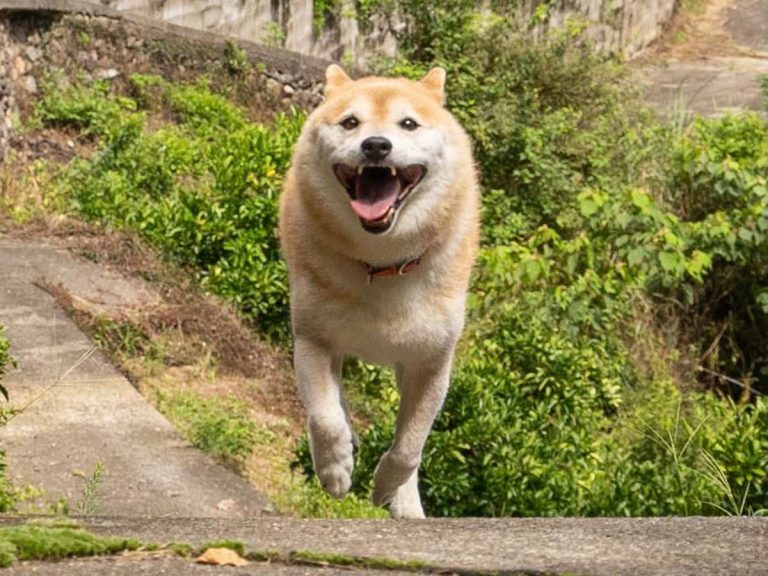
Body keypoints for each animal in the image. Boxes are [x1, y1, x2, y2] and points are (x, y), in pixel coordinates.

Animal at [280, 65, 476, 520]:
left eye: (408, 124)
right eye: (351, 122)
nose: (376, 145)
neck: (382, 265)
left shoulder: (431, 362)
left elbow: (409, 449)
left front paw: (388, 487)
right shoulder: (313, 339)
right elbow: (324, 419)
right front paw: (335, 469)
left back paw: (405, 502)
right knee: (335, 400)